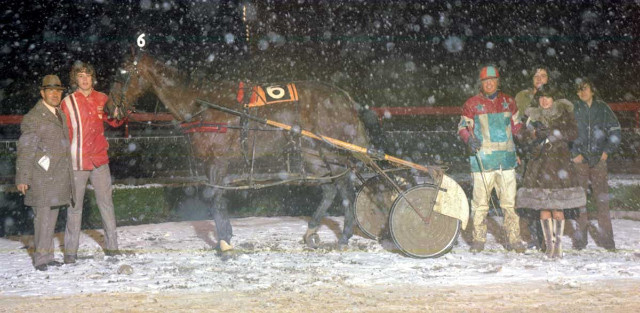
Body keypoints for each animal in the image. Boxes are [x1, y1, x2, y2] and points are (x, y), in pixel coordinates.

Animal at [106, 51, 376, 251]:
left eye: (122, 73)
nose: (109, 109)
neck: (203, 105)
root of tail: (342, 97)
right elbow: (219, 200)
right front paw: (227, 236)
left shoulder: (217, 163)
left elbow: (215, 200)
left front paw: (224, 242)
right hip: (312, 154)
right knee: (330, 189)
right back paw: (311, 231)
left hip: (332, 153)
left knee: (346, 191)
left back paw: (345, 236)